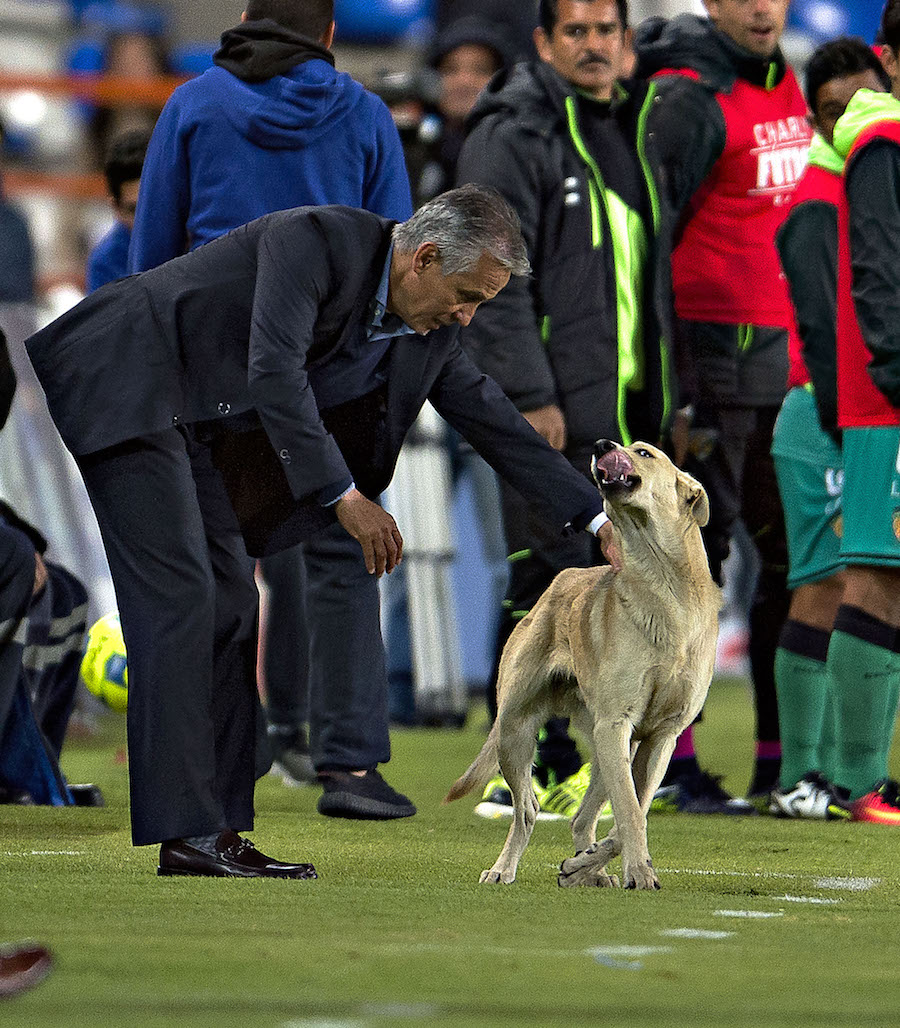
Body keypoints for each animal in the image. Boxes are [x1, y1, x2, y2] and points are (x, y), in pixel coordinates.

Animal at [446, 437, 720, 888]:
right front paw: (636, 872)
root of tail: (560, 580)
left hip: (608, 747)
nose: (602, 444)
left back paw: (589, 869)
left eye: (644, 452)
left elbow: (634, 811)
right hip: (515, 728)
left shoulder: (660, 736)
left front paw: (589, 865)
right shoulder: (617, 724)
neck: (665, 588)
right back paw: (504, 869)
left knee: (581, 818)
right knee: (527, 810)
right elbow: (630, 813)